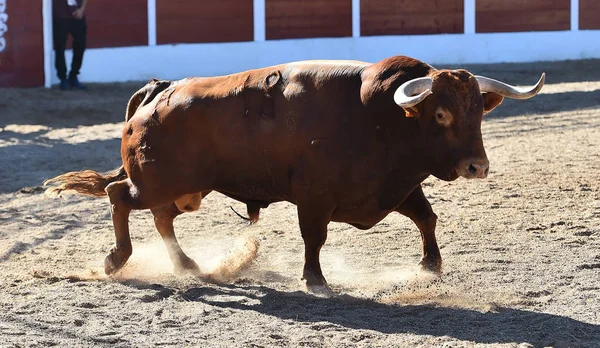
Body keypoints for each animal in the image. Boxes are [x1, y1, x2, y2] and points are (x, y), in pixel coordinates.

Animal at [47, 55, 544, 294]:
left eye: (479, 112)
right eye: (440, 113)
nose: (477, 167)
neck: (377, 117)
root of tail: (158, 90)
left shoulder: (396, 186)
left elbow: (426, 218)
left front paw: (430, 266)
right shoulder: (314, 198)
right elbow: (314, 237)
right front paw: (315, 280)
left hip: (185, 188)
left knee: (160, 217)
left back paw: (188, 265)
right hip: (156, 182)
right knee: (119, 196)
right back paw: (117, 260)